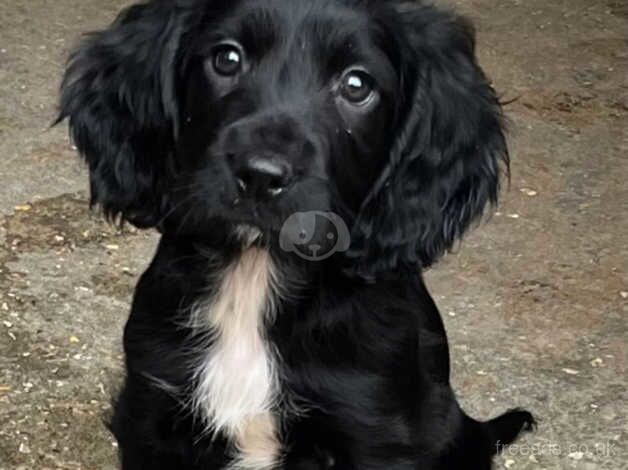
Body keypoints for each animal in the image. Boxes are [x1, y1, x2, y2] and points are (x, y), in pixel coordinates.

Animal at [59, 1, 536, 468]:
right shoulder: (150, 410)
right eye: (226, 58)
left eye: (357, 84)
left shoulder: (378, 433)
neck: (255, 276)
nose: (259, 175)